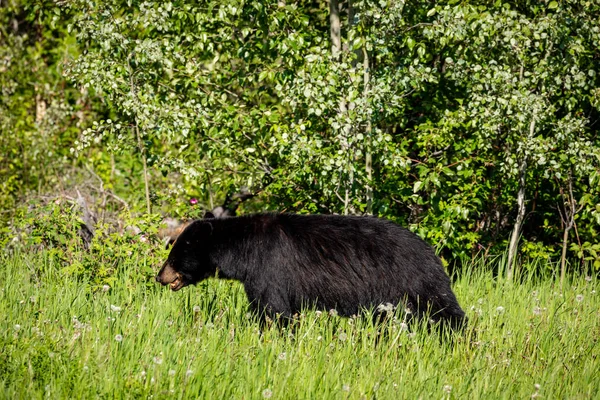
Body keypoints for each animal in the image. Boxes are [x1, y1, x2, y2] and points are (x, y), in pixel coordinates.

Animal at [154, 212, 464, 328]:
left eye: (174, 254)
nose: (159, 276)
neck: (242, 250)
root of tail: (431, 252)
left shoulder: (269, 268)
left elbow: (274, 310)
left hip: (413, 280)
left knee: (444, 310)